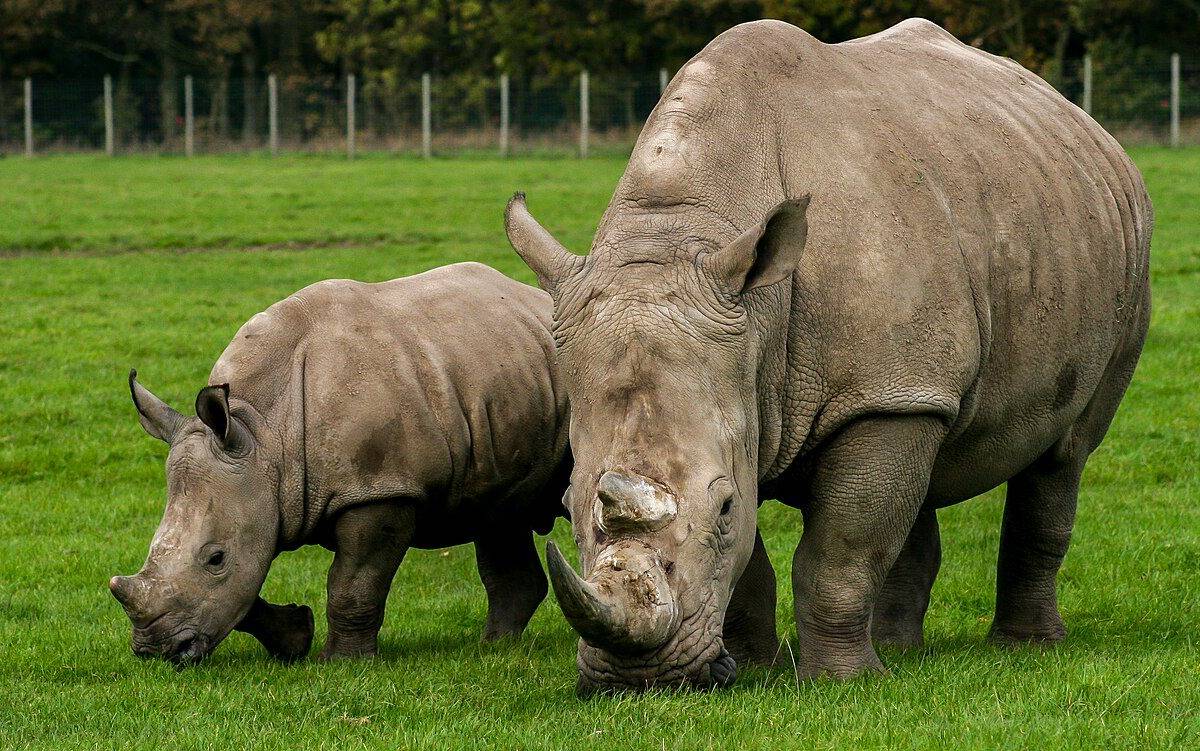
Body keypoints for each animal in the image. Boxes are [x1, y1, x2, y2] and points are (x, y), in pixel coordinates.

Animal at [110, 262, 570, 665]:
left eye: (215, 558)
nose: (155, 650)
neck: (263, 432)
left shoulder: (379, 489)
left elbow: (352, 584)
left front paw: (343, 663)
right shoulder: (256, 489)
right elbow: (245, 584)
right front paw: (296, 637)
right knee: (501, 513)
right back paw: (494, 647)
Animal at [505, 19, 1152, 693]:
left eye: (723, 507)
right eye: (565, 506)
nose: (638, 678)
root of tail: (1082, 121)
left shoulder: (881, 392)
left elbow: (840, 552)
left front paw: (842, 682)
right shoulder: (785, 390)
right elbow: (762, 563)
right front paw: (752, 665)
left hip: (1121, 255)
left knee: (1064, 453)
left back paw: (1023, 646)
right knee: (923, 465)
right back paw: (900, 649)